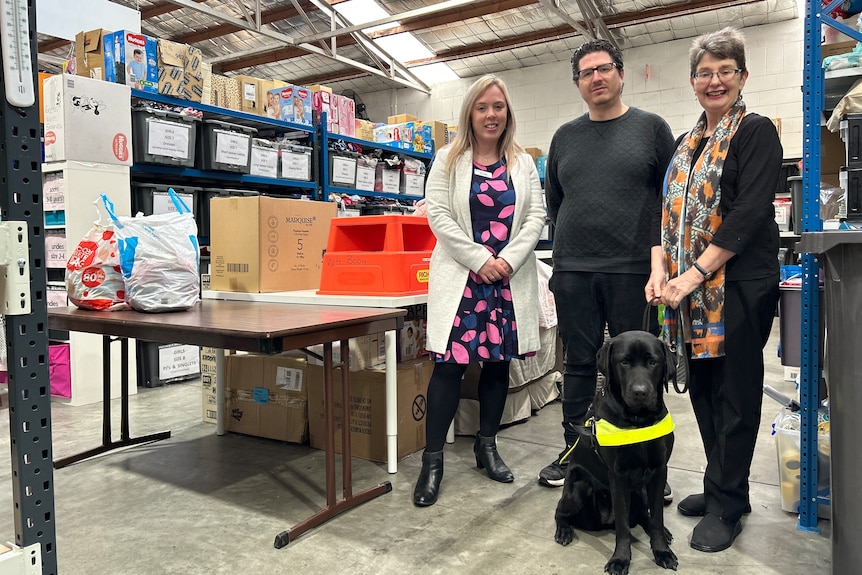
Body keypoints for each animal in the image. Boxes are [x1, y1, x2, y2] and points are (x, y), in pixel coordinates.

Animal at [552, 330, 680, 572]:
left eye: (653, 362)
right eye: (624, 362)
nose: (640, 393)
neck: (638, 421)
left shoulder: (659, 470)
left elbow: (657, 517)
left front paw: (662, 552)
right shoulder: (618, 476)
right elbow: (622, 526)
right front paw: (620, 559)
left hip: (640, 491)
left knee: (645, 516)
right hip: (578, 486)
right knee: (560, 511)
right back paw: (563, 531)